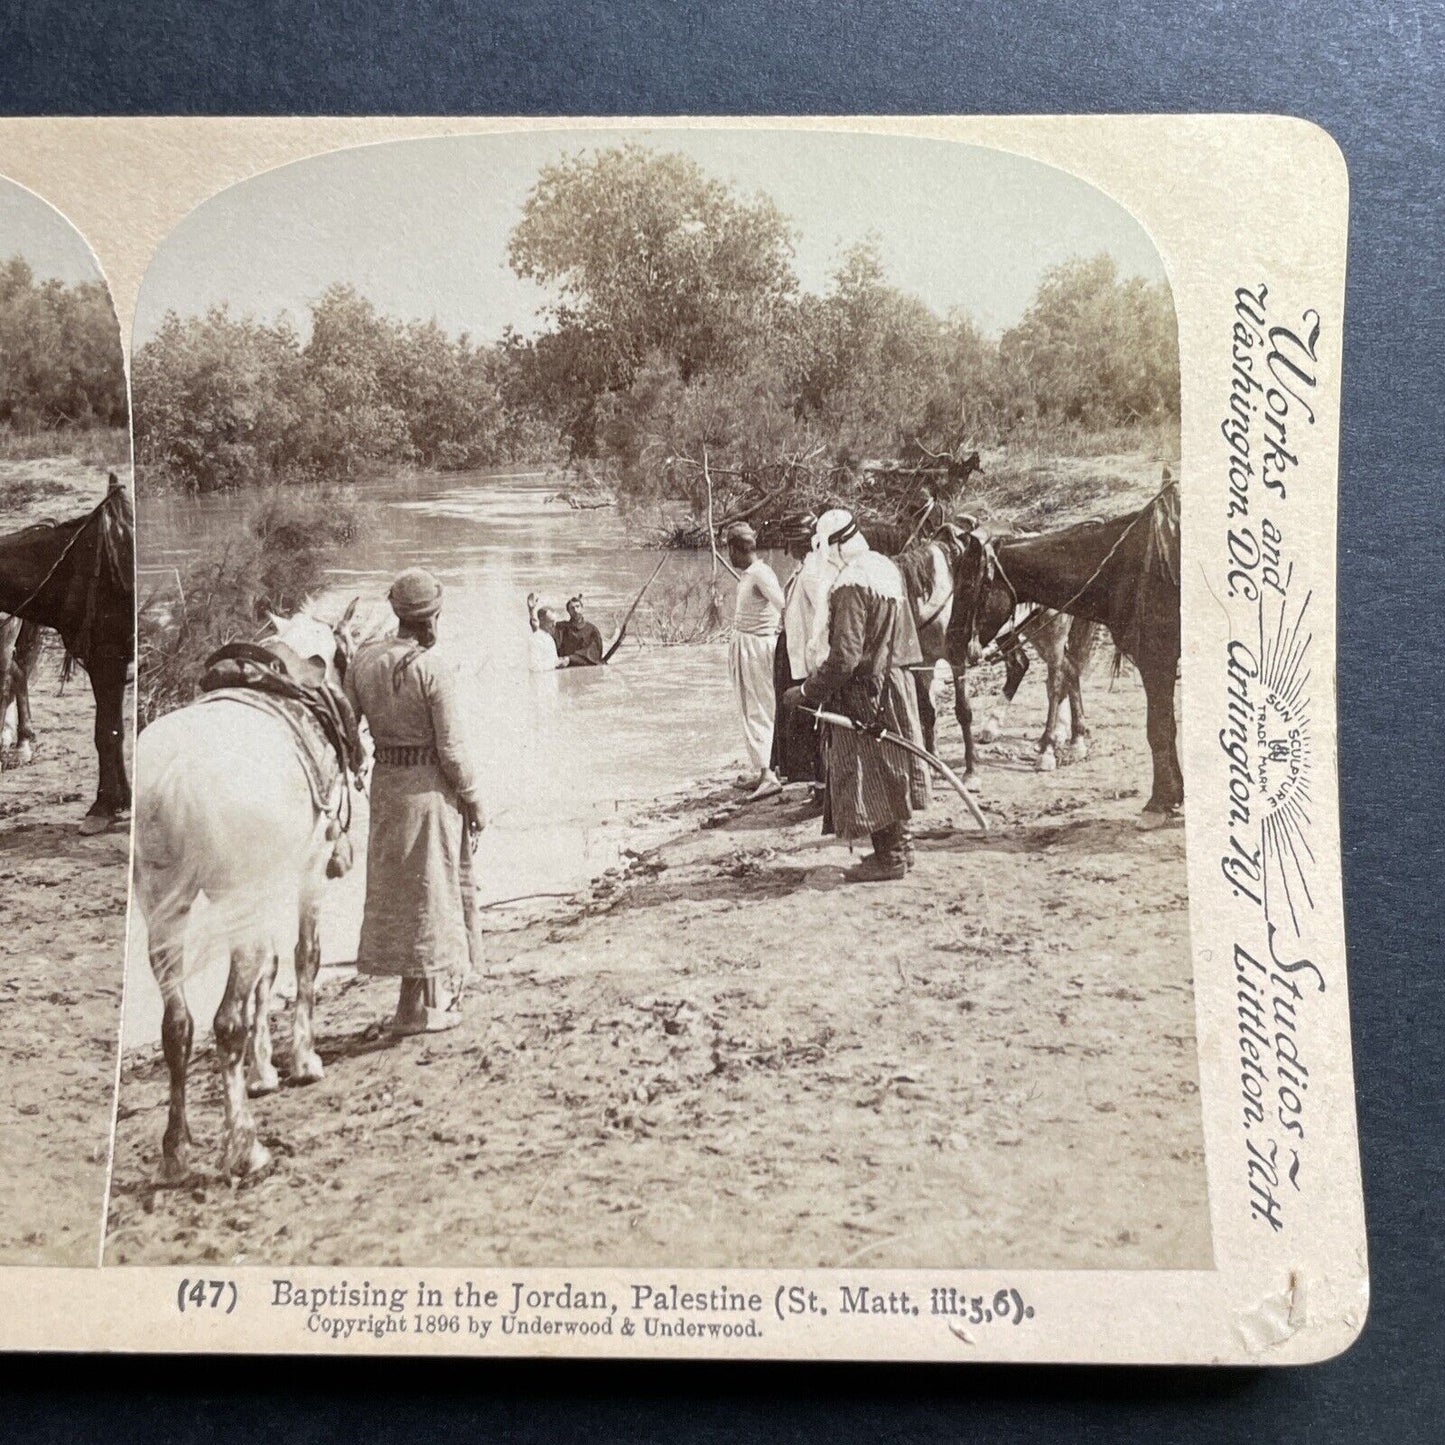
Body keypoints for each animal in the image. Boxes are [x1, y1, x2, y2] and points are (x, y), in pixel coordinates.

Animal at [0, 473, 135, 832]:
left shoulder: (107, 658)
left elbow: (106, 733)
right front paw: (120, 801)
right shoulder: (104, 662)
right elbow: (112, 731)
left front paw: (103, 806)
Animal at [134, 604, 359, 1179]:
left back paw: (176, 1149)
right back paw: (243, 1147)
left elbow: (269, 973)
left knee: (178, 1026)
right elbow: (303, 959)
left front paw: (262, 1072)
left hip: (166, 915)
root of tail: (178, 774)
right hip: (238, 904)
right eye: (347, 655)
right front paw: (301, 1061)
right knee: (225, 1023)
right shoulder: (306, 874)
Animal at [947, 485, 1184, 826]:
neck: (1125, 564)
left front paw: (1159, 802)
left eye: (968, 585)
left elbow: (1159, 729)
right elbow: (1166, 727)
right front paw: (1173, 797)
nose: (950, 644)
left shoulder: (1157, 658)